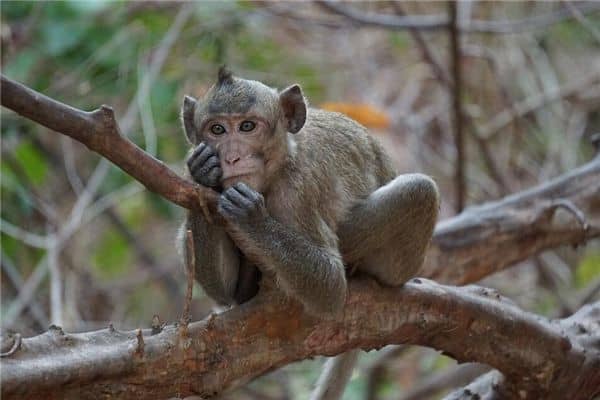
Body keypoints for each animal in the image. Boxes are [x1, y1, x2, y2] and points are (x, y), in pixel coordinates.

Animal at [179, 67, 440, 398]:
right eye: (217, 129)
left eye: (247, 126)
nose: (232, 157)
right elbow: (224, 294)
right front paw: (202, 173)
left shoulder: (298, 191)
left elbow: (330, 286)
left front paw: (253, 221)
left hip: (398, 265)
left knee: (419, 190)